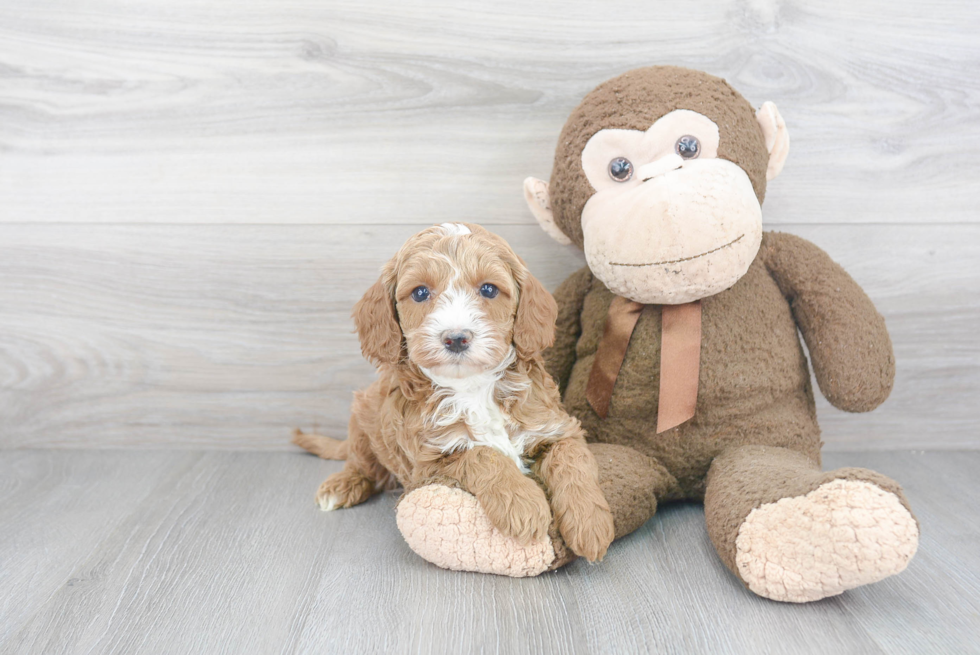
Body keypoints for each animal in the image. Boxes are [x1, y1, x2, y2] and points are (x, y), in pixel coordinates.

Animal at [290, 223, 612, 560]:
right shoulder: (429, 463)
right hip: (363, 419)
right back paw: (341, 485)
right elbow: (482, 454)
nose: (456, 338)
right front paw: (522, 503)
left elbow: (571, 458)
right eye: (420, 292)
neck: (473, 387)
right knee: (361, 463)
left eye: (488, 289)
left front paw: (591, 523)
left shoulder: (554, 426)